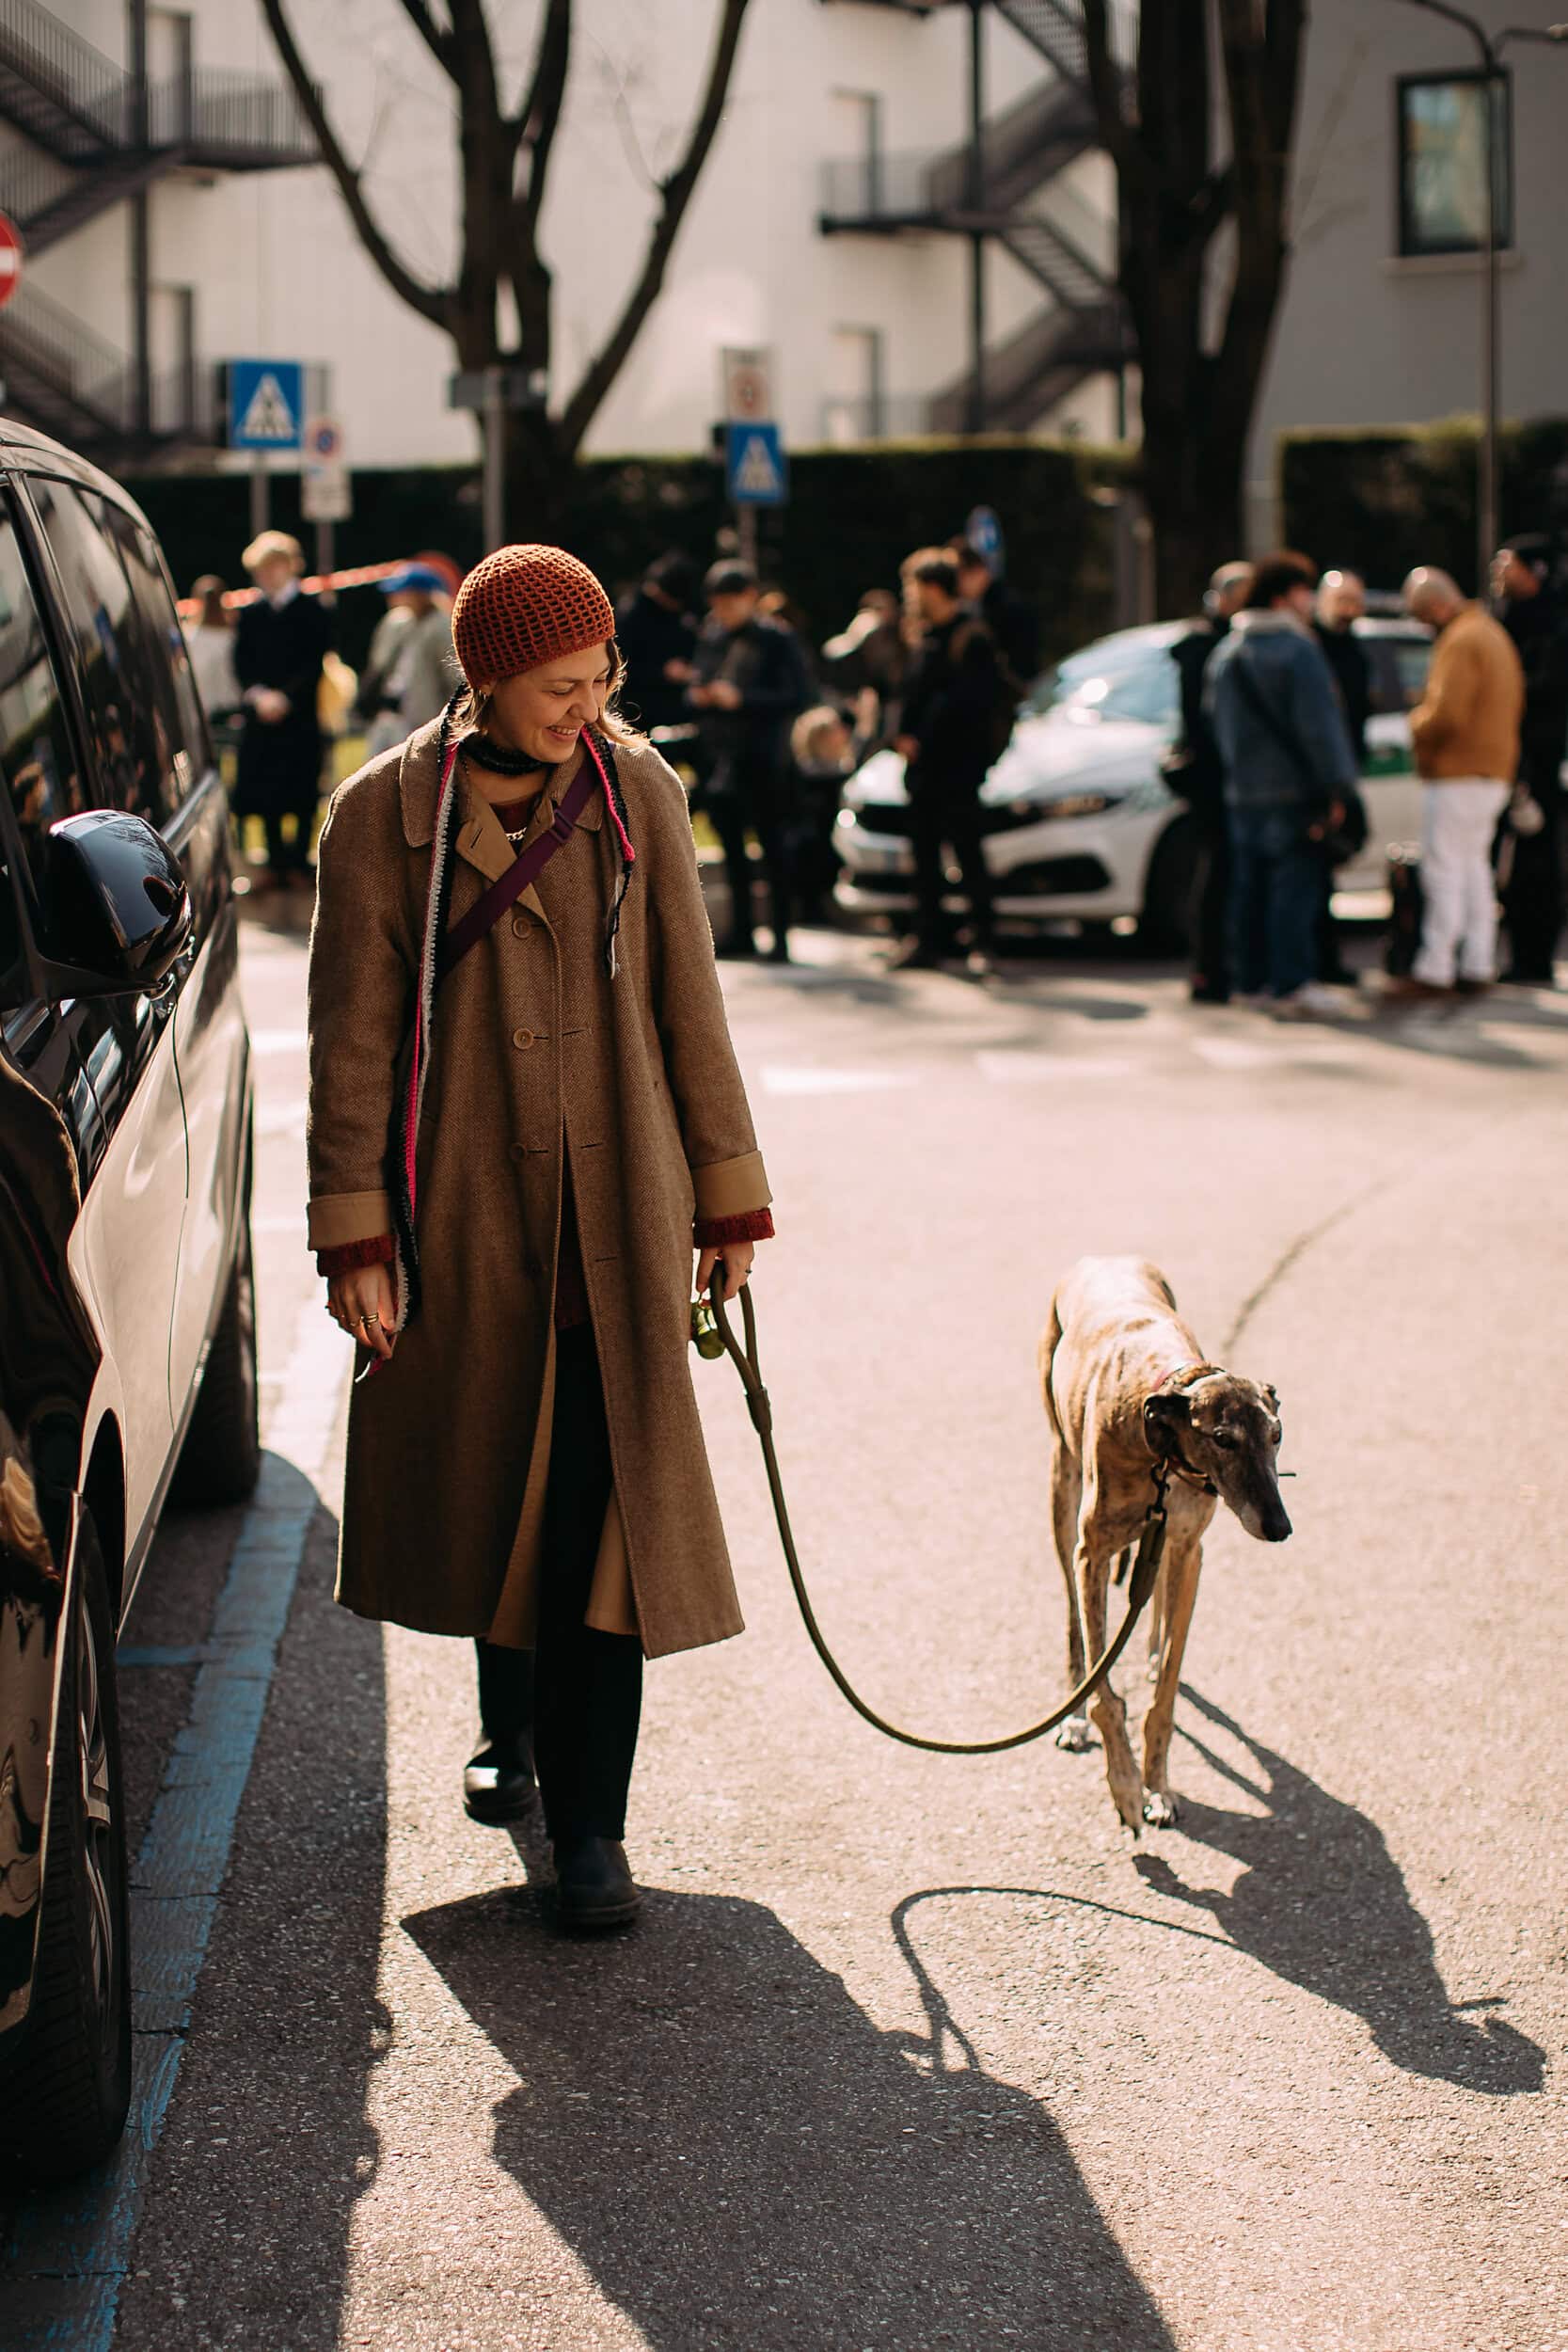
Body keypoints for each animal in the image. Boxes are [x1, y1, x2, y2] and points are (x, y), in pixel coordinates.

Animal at [1043, 1261, 1288, 1825]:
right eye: (1222, 1438)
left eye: (1277, 1435)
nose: (1280, 1526)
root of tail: (1102, 1256)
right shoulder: (1092, 1554)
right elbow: (1104, 1691)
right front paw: (1126, 1785)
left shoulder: (1189, 1551)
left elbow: (1167, 1692)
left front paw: (1158, 1786)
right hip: (1062, 1490)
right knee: (1072, 1619)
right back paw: (1073, 1717)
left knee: (1153, 1600)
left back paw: (1151, 1653)